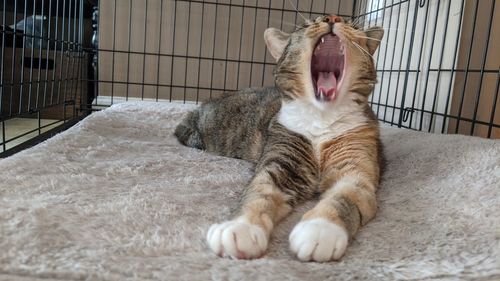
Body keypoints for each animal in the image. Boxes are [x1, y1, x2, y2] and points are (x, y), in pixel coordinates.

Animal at [174, 14, 384, 260]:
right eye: (306, 25)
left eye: (352, 26)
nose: (333, 17)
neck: (322, 116)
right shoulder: (282, 155)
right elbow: (260, 191)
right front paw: (240, 228)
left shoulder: (356, 164)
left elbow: (345, 195)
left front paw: (320, 230)